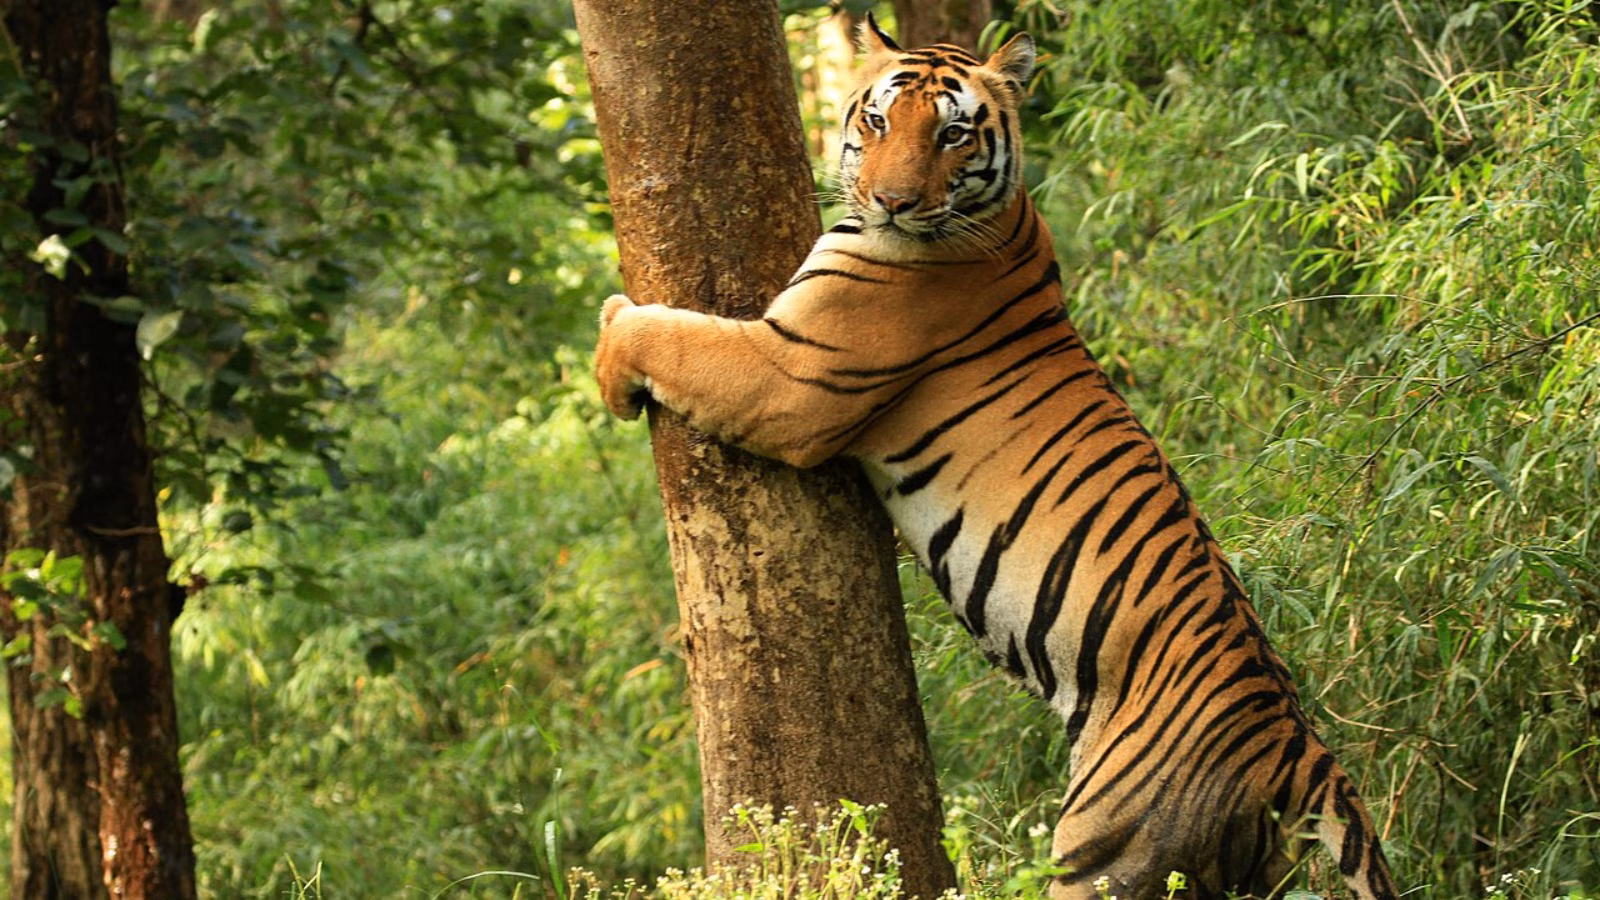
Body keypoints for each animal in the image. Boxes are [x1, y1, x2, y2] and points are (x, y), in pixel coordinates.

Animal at [594, 15, 1400, 900]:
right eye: (878, 121)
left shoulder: (789, 376)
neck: (1002, 218)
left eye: (951, 133)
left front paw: (609, 348)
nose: (892, 201)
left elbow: (671, 335)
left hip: (1106, 852)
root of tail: (1303, 752)